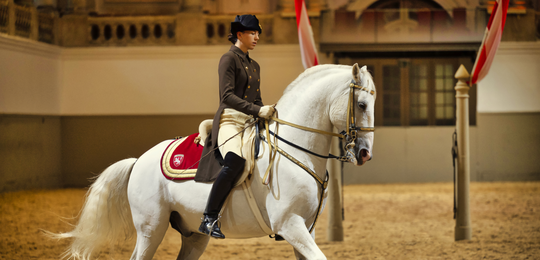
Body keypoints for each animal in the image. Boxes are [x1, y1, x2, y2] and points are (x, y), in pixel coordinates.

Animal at [53, 63, 376, 260]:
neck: (296, 149)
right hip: (150, 228)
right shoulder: (290, 225)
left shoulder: (304, 230)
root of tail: (139, 160)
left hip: (193, 235)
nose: (365, 154)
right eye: (361, 104)